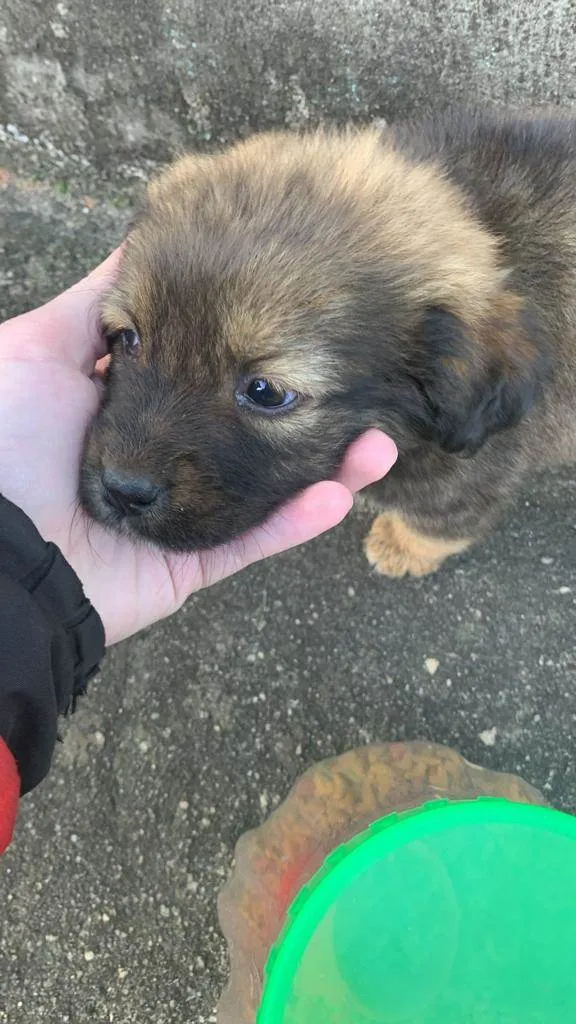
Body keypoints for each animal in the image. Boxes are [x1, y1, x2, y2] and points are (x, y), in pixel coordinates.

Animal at [79, 114, 573, 577]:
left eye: (266, 392)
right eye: (129, 337)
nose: (123, 491)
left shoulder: (461, 490)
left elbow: (438, 527)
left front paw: (400, 547)